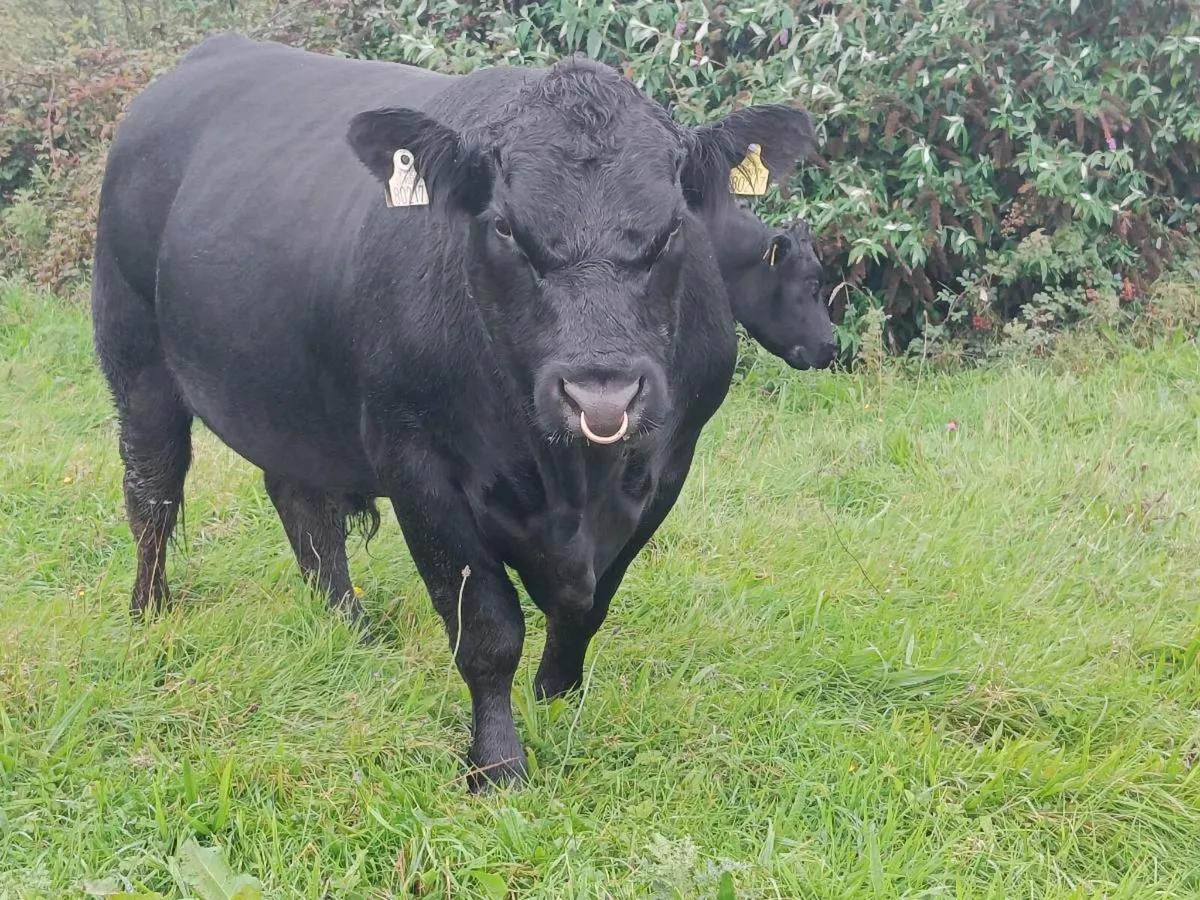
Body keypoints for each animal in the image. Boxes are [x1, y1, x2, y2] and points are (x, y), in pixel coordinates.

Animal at [91, 34, 816, 791]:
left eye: (673, 229)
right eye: (504, 227)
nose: (602, 395)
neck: (567, 481)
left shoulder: (667, 466)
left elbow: (589, 607)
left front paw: (558, 702)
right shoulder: (419, 465)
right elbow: (488, 630)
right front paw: (497, 763)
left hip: (291, 395)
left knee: (303, 505)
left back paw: (350, 628)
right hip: (135, 355)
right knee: (153, 494)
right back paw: (151, 613)